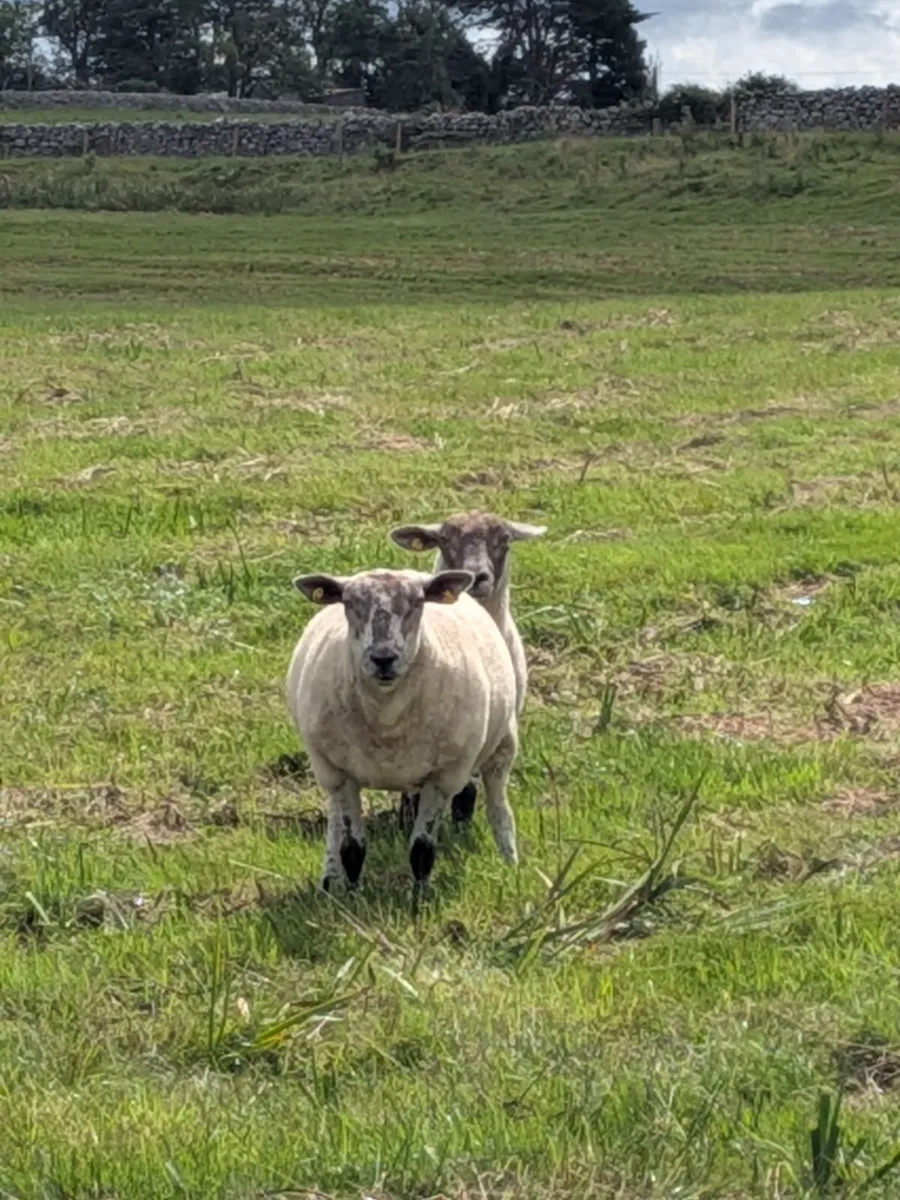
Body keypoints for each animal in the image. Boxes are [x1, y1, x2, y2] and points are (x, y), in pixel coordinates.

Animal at [286, 566, 520, 890]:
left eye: (418, 602)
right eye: (349, 603)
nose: (383, 658)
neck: (387, 717)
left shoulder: (445, 777)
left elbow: (422, 849)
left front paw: (419, 899)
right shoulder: (340, 773)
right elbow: (351, 848)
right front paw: (352, 895)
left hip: (502, 746)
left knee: (499, 807)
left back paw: (511, 863)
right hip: (328, 769)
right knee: (333, 823)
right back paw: (330, 879)